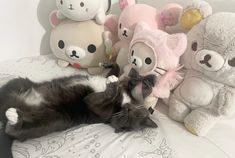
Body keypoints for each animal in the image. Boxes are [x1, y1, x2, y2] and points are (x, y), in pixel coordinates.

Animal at [0, 69, 158, 141]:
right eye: (136, 112)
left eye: (126, 119)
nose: (127, 109)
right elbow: (117, 72)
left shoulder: (94, 105)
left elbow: (103, 98)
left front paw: (113, 84)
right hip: (17, 83)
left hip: (47, 121)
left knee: (15, 131)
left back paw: (14, 117)